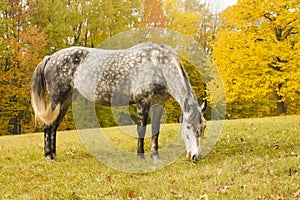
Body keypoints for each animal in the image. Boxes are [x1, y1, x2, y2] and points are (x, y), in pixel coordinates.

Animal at [31, 42, 207, 161]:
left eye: (204, 127)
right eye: (188, 127)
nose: (196, 156)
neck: (157, 64)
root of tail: (50, 58)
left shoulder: (158, 105)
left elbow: (155, 131)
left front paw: (155, 157)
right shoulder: (142, 103)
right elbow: (141, 129)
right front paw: (141, 157)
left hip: (65, 101)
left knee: (54, 126)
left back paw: (54, 153)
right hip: (57, 99)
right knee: (48, 126)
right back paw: (49, 156)